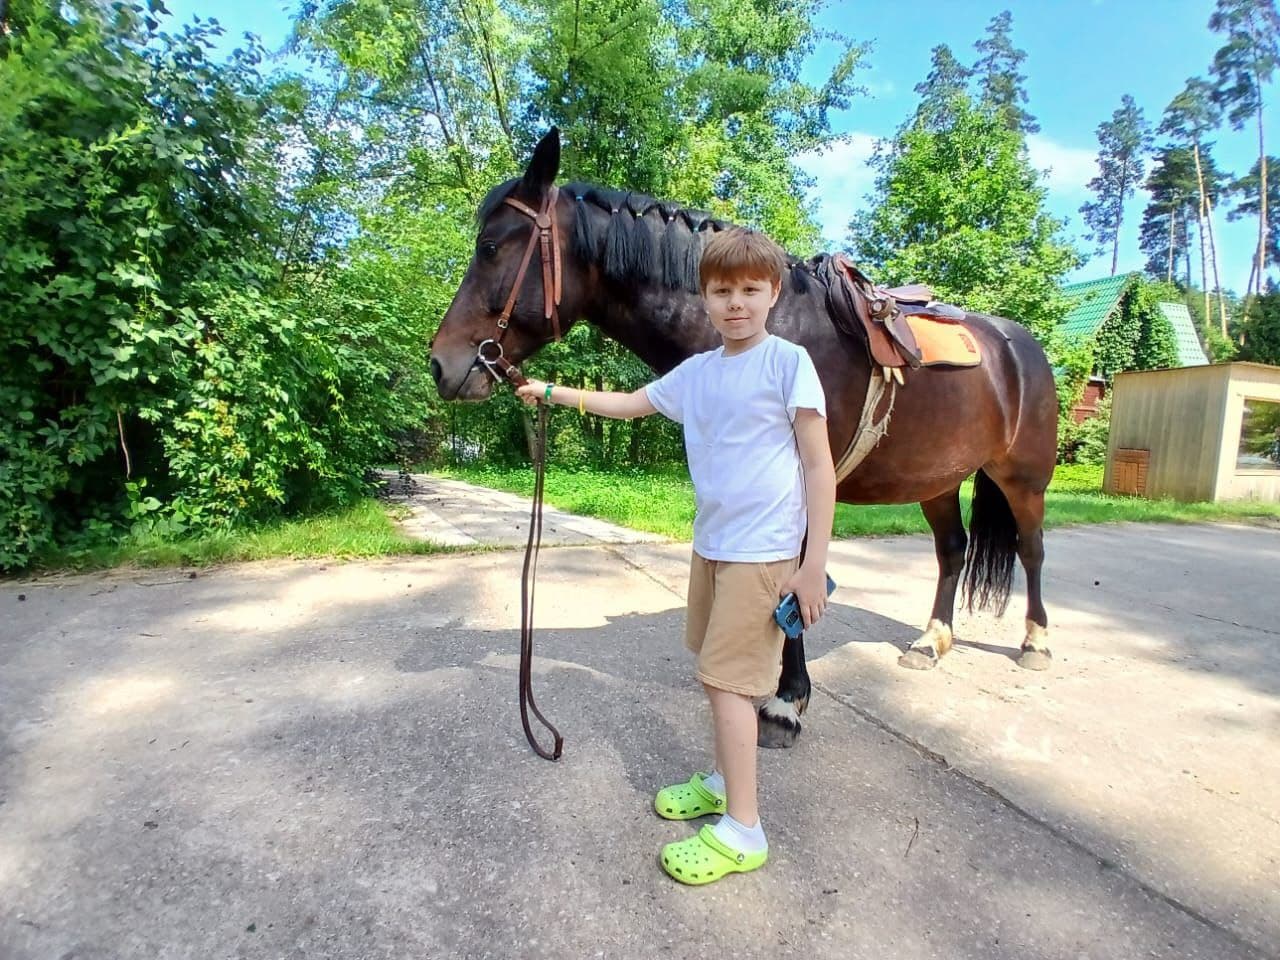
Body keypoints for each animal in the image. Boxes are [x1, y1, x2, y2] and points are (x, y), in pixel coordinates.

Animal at [429, 128, 1058, 748]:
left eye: (490, 246)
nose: (440, 364)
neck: (773, 329)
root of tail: (1019, 345)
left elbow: (795, 584)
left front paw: (786, 701)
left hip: (1024, 479)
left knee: (1031, 549)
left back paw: (1036, 643)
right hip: (937, 480)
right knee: (952, 550)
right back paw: (931, 641)